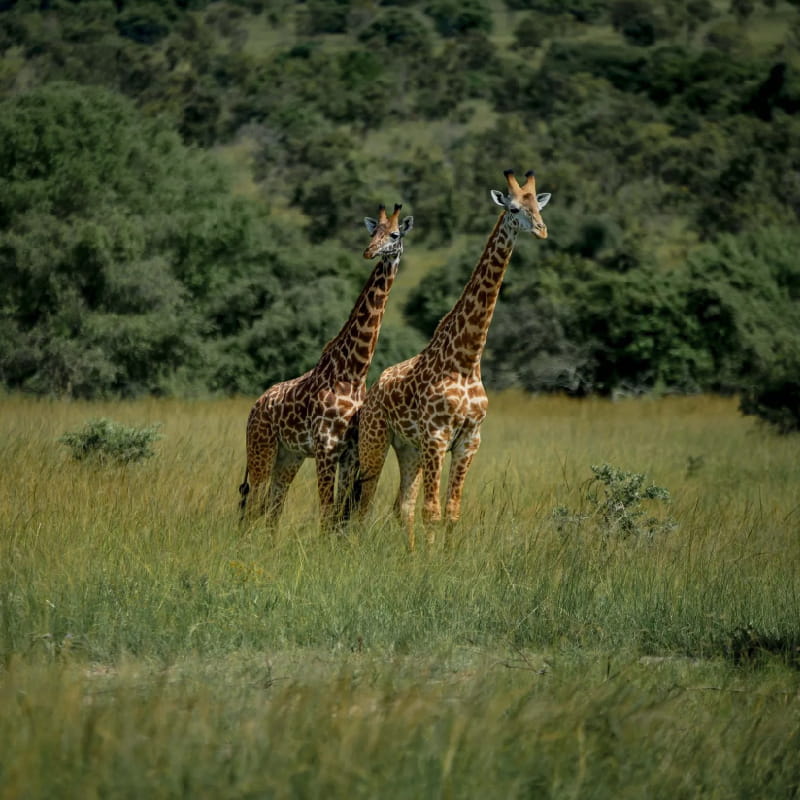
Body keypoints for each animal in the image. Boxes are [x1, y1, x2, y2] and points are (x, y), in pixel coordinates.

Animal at [239, 203, 414, 530]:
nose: (369, 251)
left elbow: (336, 517)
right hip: (261, 448)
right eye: (372, 232)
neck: (354, 371)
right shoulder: (326, 447)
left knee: (272, 507)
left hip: (288, 456)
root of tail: (255, 407)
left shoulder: (349, 452)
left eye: (395, 234)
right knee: (253, 505)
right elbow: (327, 513)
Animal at [355, 170, 551, 551]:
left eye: (538, 206)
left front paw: (441, 557)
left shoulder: (468, 440)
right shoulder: (437, 436)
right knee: (364, 503)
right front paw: (431, 562)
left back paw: (410, 552)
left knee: (402, 504)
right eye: (514, 208)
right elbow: (432, 510)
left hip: (409, 448)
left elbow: (452, 511)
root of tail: (374, 389)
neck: (465, 359)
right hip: (376, 440)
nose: (541, 230)